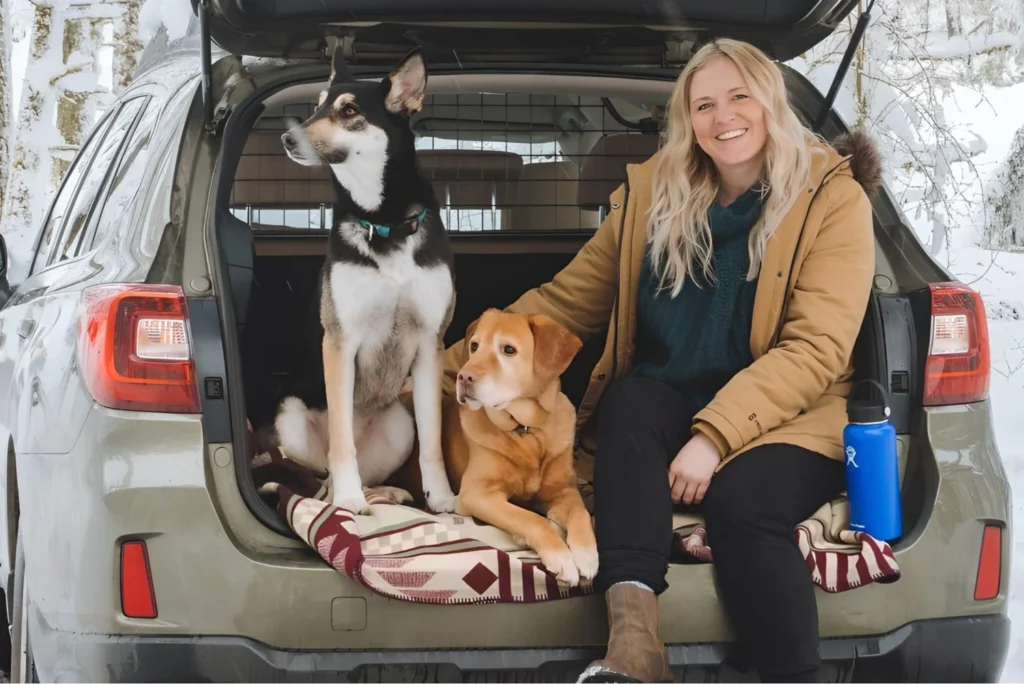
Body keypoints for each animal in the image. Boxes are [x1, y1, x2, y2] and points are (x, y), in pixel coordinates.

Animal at [276, 45, 460, 516]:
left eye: (350, 111)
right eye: (317, 105)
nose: (287, 139)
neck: (385, 221)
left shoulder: (430, 342)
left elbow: (434, 442)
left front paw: (442, 499)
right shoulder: (340, 341)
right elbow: (342, 443)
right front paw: (348, 500)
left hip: (399, 424)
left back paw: (389, 494)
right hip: (290, 417)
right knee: (318, 472)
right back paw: (339, 493)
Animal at [442, 307, 598, 585]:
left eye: (509, 350)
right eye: (474, 346)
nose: (463, 377)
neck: (526, 430)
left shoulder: (564, 491)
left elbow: (580, 512)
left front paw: (587, 553)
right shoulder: (477, 494)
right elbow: (531, 518)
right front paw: (561, 556)